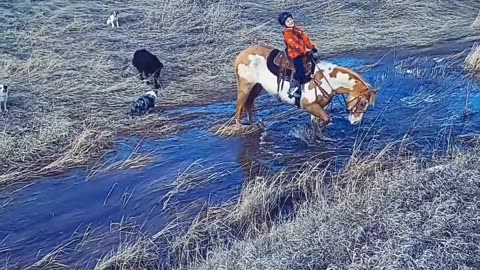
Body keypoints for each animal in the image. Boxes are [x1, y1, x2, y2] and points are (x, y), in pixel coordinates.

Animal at [233, 44, 378, 131]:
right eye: (362, 103)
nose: (356, 122)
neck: (326, 80)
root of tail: (241, 55)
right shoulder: (309, 106)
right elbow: (326, 119)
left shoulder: (317, 108)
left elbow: (319, 123)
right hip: (245, 89)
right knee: (239, 108)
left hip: (256, 88)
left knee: (248, 105)